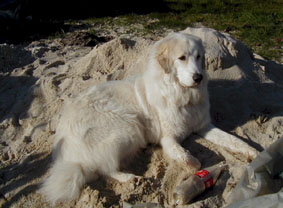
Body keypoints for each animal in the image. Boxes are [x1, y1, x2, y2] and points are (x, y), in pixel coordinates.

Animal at [40, 32, 260, 203]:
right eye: (182, 58)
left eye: (199, 57)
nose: (198, 77)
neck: (182, 94)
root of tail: (65, 152)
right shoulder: (168, 138)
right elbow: (185, 155)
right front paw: (195, 167)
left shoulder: (204, 126)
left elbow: (233, 139)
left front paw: (251, 151)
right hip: (128, 127)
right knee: (104, 168)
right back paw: (130, 178)